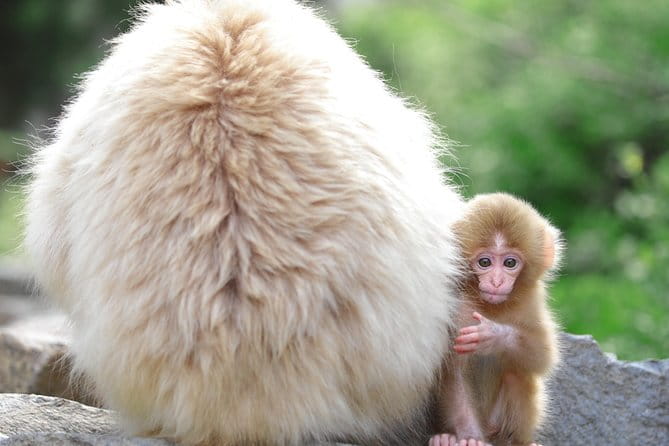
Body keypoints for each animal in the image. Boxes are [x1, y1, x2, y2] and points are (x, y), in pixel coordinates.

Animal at [430, 193, 562, 446]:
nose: (497, 281)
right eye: (485, 263)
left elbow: (543, 356)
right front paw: (470, 437)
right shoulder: (455, 306)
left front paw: (492, 335)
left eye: (510, 263)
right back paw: (446, 438)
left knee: (516, 374)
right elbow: (454, 373)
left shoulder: (532, 304)